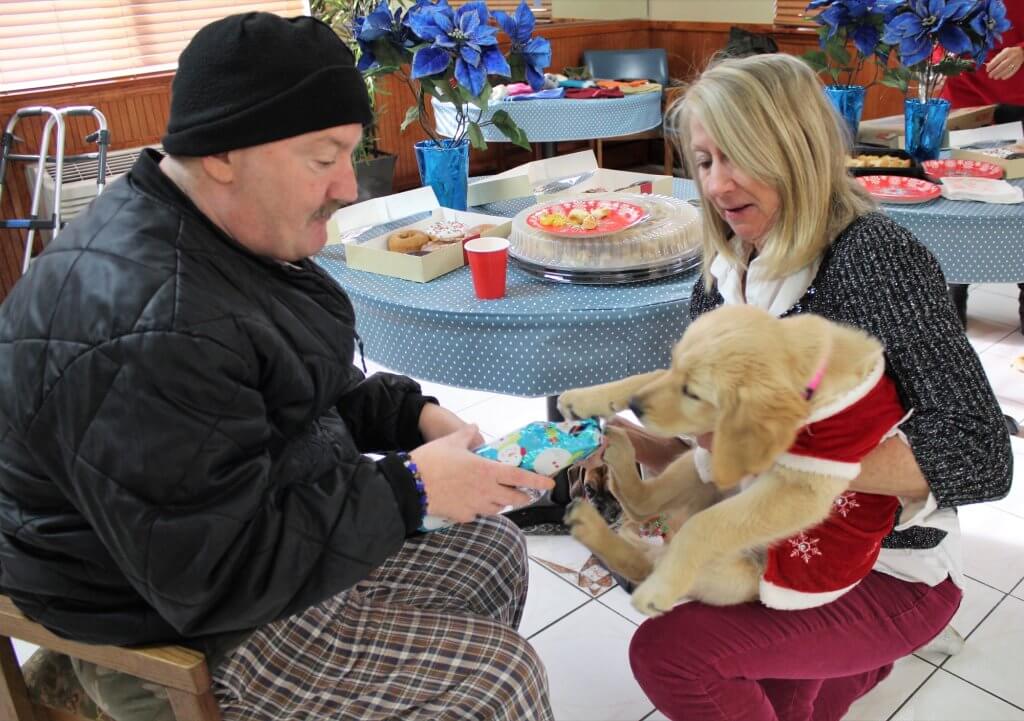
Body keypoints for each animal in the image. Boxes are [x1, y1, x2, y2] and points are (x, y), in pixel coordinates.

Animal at [561, 307, 905, 618]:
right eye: (674, 365)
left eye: (692, 393)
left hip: (739, 573)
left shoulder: (801, 487)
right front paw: (585, 399)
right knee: (643, 505)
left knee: (650, 562)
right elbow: (648, 376)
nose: (634, 406)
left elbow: (705, 525)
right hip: (702, 462)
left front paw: (661, 588)